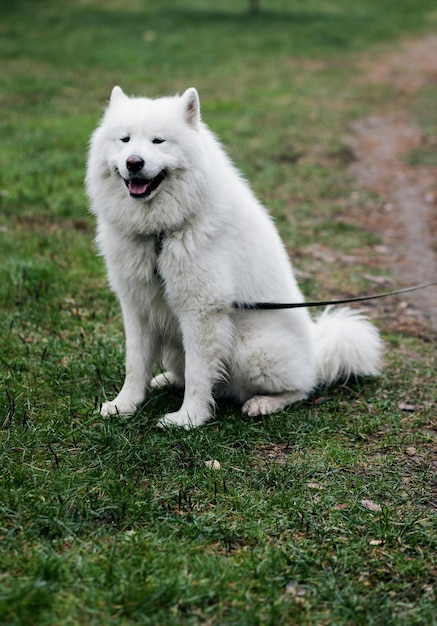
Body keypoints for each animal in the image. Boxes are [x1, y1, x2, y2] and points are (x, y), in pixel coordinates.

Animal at [86, 85, 382, 426]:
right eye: (125, 140)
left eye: (158, 141)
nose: (134, 162)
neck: (160, 233)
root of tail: (316, 352)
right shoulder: (137, 306)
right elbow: (135, 364)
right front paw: (124, 405)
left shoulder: (202, 310)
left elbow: (199, 372)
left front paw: (188, 418)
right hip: (177, 347)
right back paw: (165, 380)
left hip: (249, 348)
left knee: (302, 387)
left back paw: (264, 403)